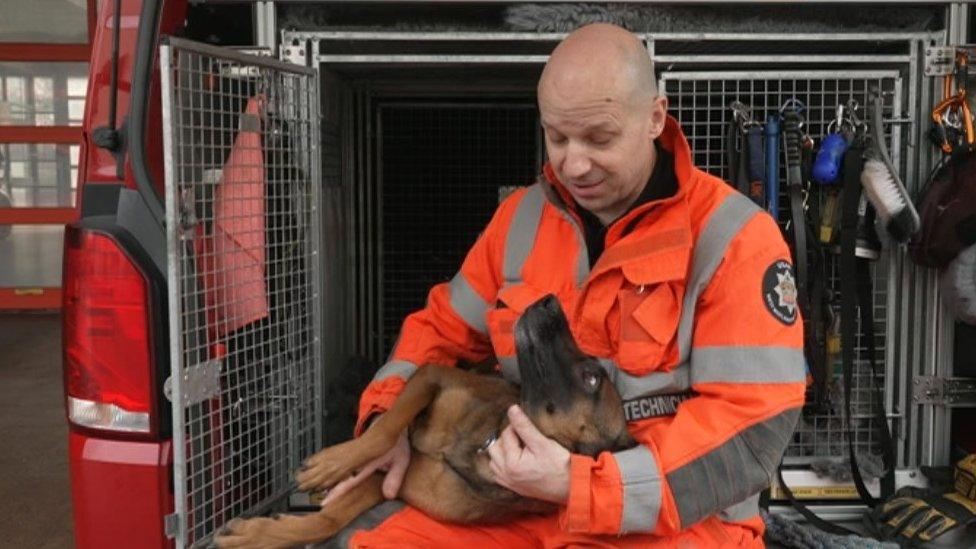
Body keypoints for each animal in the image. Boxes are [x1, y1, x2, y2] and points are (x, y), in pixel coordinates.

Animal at [215, 296, 632, 548]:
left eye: (592, 378)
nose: (550, 301)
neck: (484, 444)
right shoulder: (432, 377)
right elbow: (384, 433)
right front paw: (329, 466)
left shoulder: (392, 485)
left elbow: (329, 520)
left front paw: (258, 533)